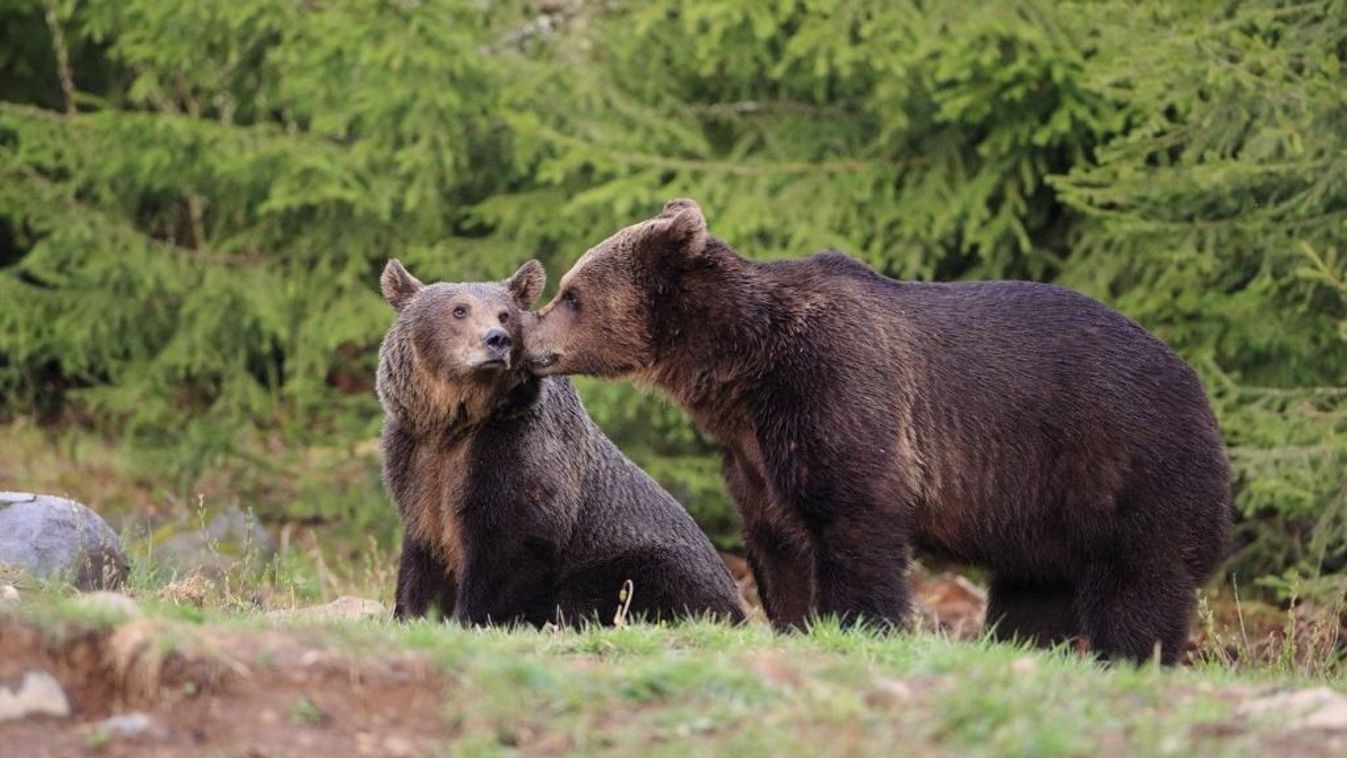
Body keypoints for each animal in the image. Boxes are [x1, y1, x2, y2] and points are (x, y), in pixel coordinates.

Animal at [374, 258, 743, 624]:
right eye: (459, 310)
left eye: (504, 314)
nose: (497, 339)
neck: (457, 421)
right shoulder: (416, 458)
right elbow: (424, 550)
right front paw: (413, 611)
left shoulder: (515, 448)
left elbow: (510, 542)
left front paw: (472, 615)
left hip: (649, 564)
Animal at [522, 197, 1233, 665]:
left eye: (571, 294)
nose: (523, 337)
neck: (743, 369)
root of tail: (1198, 388)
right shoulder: (755, 453)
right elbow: (780, 544)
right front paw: (795, 623)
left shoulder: (839, 390)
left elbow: (855, 522)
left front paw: (858, 626)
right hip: (1042, 512)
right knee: (1034, 588)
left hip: (1126, 461)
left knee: (1138, 580)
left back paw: (1133, 655)